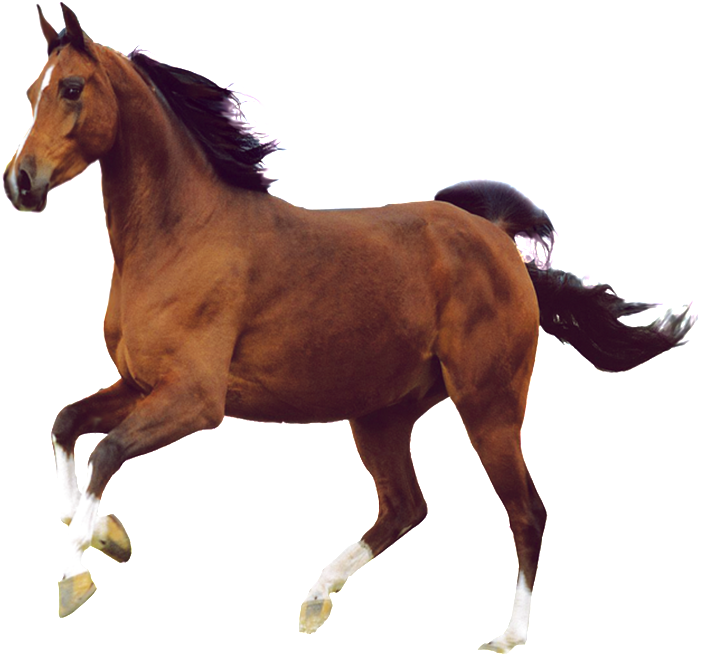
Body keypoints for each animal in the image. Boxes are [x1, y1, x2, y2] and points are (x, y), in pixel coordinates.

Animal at [4, 4, 700, 652]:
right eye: (32, 92)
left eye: (72, 89)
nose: (20, 183)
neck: (179, 235)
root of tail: (497, 241)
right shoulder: (139, 385)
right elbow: (66, 425)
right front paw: (102, 535)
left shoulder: (194, 400)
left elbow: (105, 451)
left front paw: (77, 573)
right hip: (383, 414)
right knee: (406, 507)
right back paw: (316, 600)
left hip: (489, 405)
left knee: (526, 512)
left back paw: (507, 637)